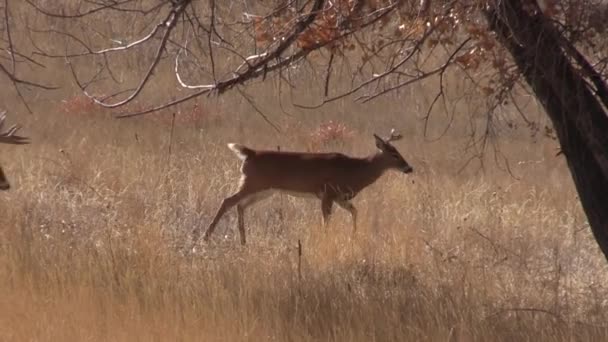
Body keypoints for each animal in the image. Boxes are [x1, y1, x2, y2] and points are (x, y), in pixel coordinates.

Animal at [191, 129, 414, 246]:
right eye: (394, 154)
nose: (409, 168)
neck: (355, 170)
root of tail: (250, 153)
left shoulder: (340, 197)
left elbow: (355, 211)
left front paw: (354, 236)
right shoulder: (327, 192)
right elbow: (326, 220)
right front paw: (326, 240)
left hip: (263, 189)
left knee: (240, 205)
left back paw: (243, 240)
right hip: (253, 182)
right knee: (227, 200)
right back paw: (206, 237)